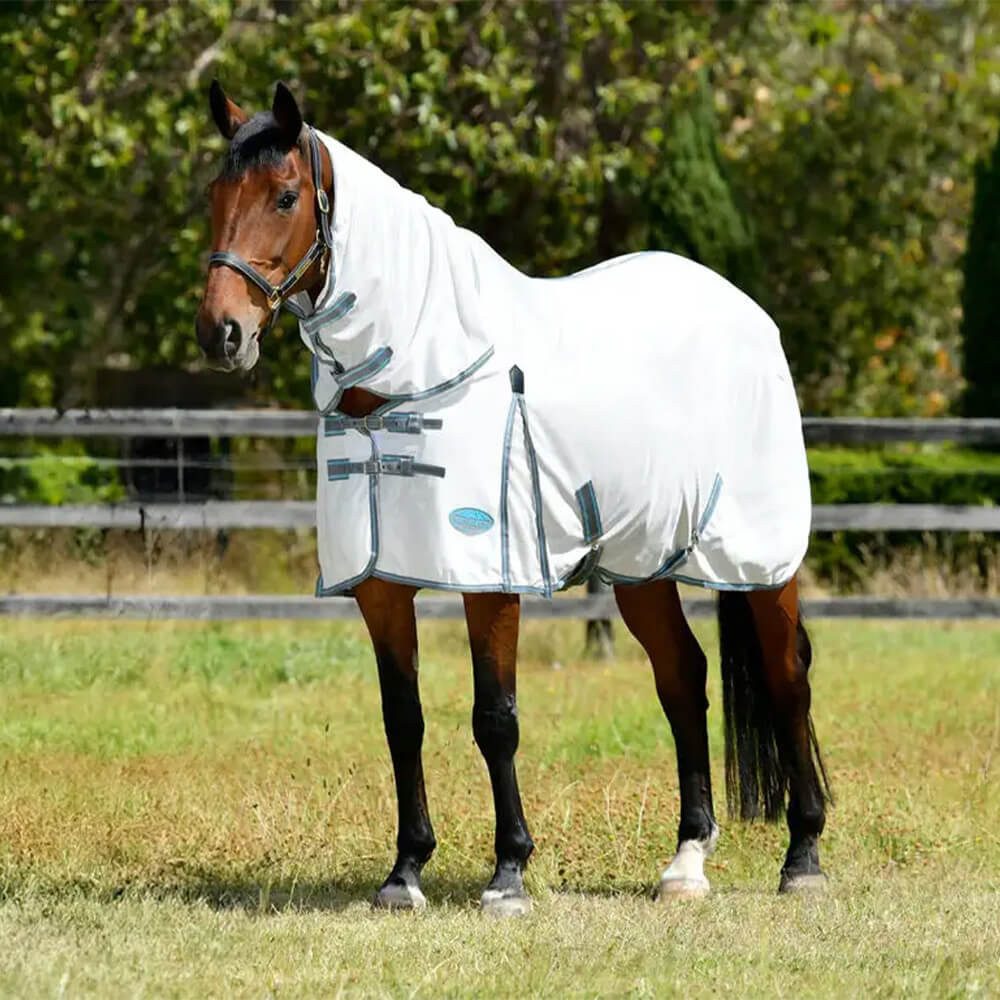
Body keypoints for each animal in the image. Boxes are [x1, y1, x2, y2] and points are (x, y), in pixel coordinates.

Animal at [195, 82, 831, 915]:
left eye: (285, 196)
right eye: (214, 196)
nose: (221, 334)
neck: (424, 369)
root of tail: (744, 311)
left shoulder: (489, 580)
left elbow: (494, 717)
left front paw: (508, 874)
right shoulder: (380, 585)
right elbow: (403, 719)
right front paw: (404, 872)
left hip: (761, 558)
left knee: (788, 677)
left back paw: (804, 858)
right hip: (642, 564)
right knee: (683, 679)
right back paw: (686, 863)